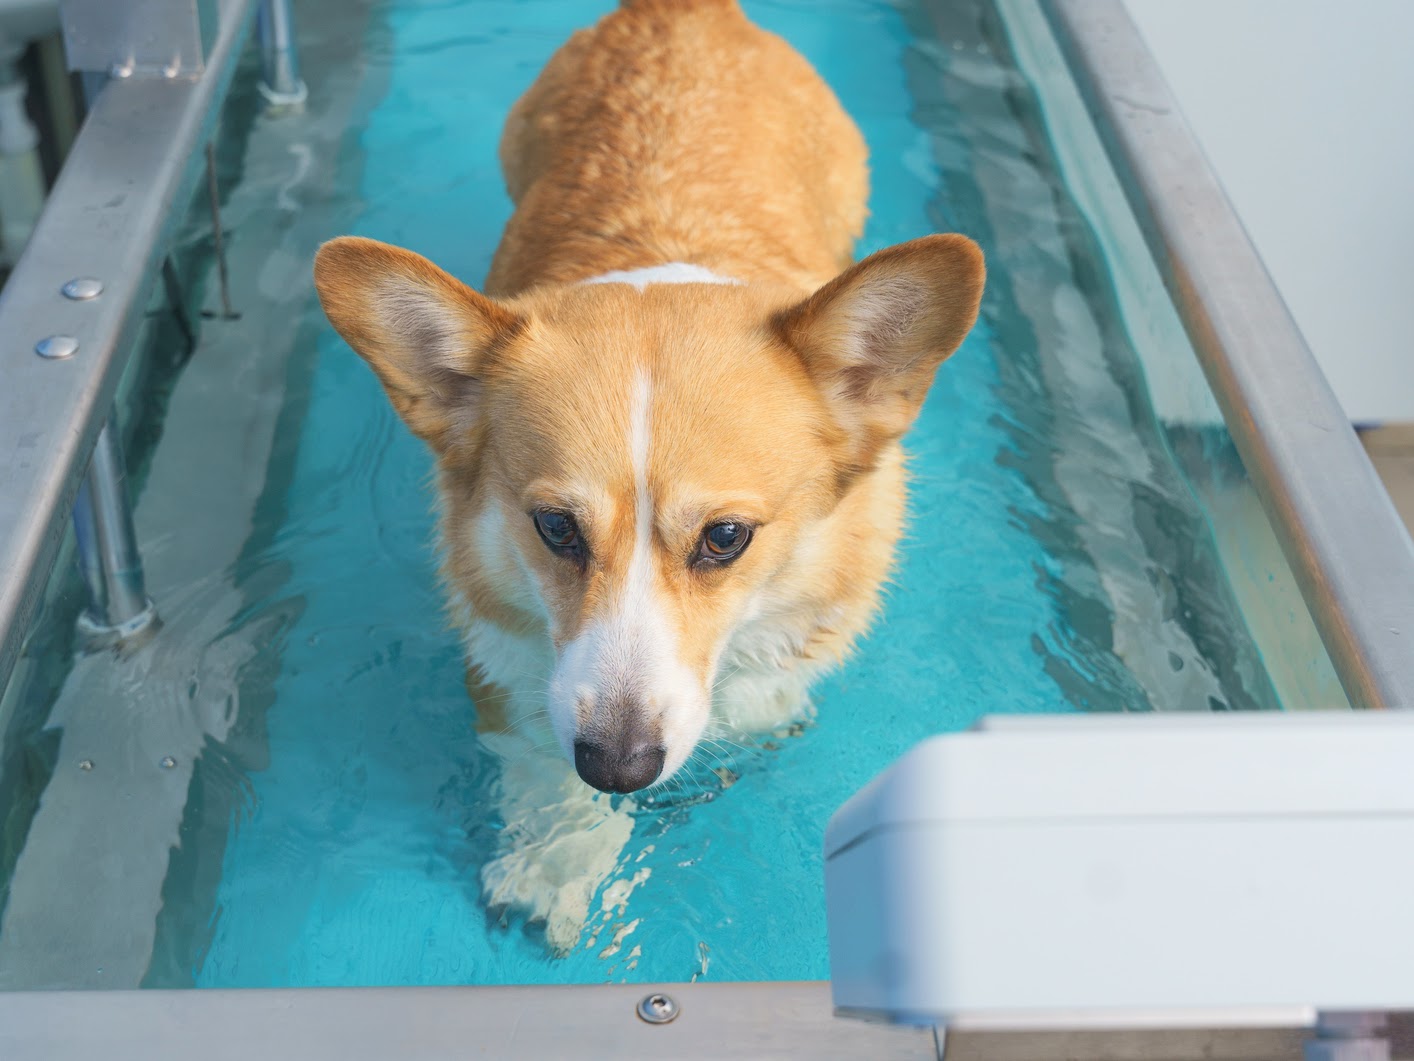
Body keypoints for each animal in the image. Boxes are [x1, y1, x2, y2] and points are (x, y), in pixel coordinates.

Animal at [313, 0, 978, 950]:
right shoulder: (509, 655)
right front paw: (559, 852)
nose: (619, 765)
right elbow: (539, 751)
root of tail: (685, 12)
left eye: (726, 538)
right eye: (555, 527)